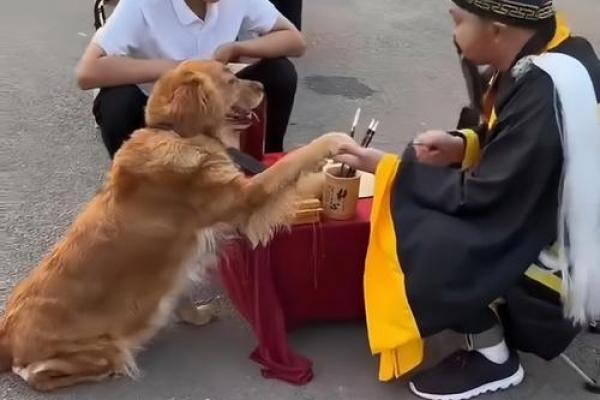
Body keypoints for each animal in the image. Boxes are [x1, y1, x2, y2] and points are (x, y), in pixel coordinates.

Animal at [0, 61, 356, 392]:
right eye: (231, 80)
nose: (262, 86)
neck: (176, 132)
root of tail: (7, 335)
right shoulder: (245, 198)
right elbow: (292, 165)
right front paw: (333, 145)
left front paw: (194, 316)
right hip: (102, 349)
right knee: (41, 374)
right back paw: (111, 368)